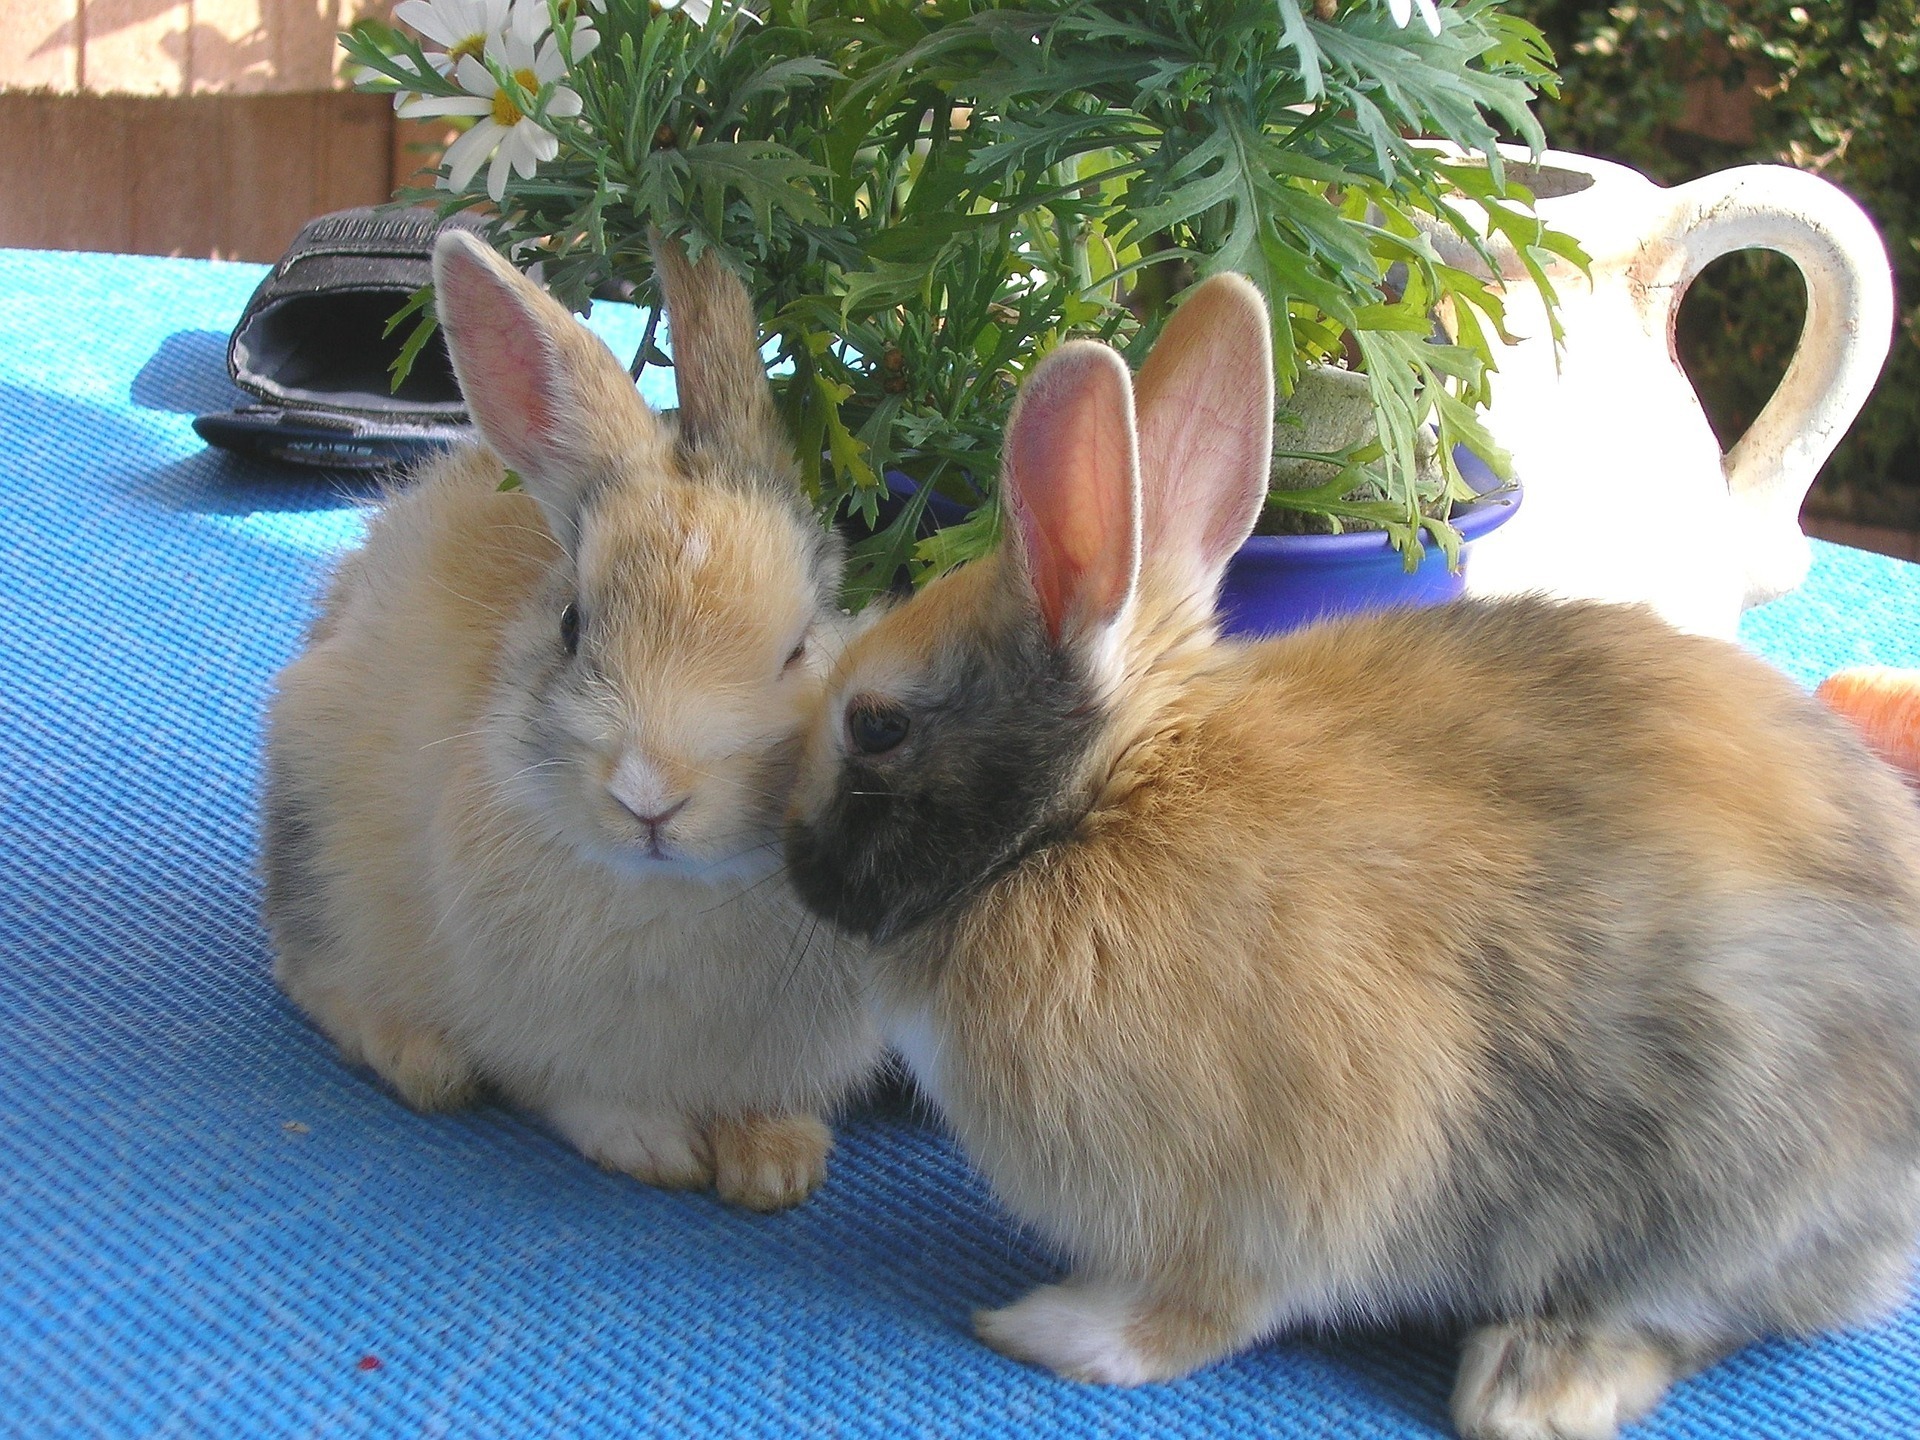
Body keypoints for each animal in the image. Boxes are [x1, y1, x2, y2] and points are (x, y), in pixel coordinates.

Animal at [263, 231, 879, 1213]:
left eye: (799, 649)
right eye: (571, 626)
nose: (649, 798)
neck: (677, 891)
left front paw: (777, 1163)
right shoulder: (545, 1047)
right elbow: (579, 1095)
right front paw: (653, 1147)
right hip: (312, 830)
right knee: (310, 975)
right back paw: (420, 1056)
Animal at [775, 276, 1920, 1436]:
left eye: (876, 728)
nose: (791, 861)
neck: (1095, 810)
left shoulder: (1270, 1195)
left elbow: (1206, 1309)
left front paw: (1058, 1331)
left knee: (1683, 1313)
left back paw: (1525, 1387)